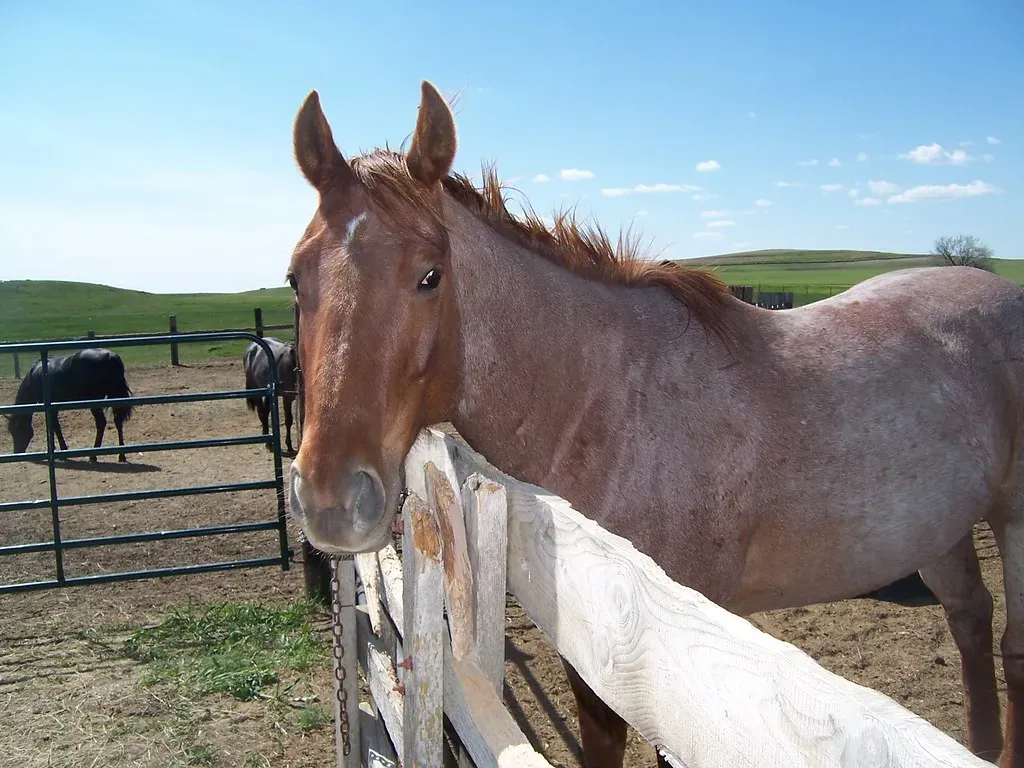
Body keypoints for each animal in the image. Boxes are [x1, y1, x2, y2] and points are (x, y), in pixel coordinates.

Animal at [283, 81, 1024, 767]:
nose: (331, 499)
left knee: (1011, 646)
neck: (606, 400)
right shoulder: (595, 659)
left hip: (1011, 522)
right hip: (937, 530)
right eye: (295, 278)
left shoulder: (671, 662)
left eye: (430, 276)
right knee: (970, 617)